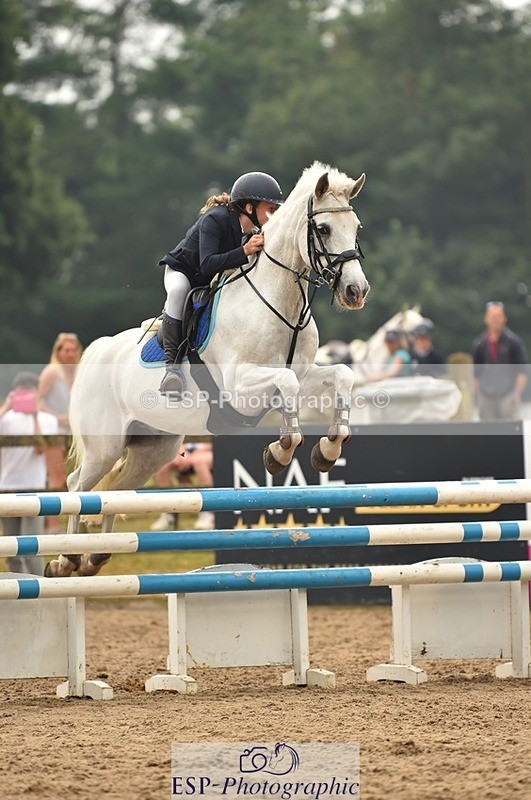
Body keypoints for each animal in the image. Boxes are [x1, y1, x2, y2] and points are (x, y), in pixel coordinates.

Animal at [45, 161, 369, 578]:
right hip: (105, 445)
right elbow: (286, 386)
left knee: (114, 490)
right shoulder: (240, 386)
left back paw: (95, 557)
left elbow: (341, 374)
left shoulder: (305, 371)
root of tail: (98, 348)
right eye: (325, 229)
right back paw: (66, 558)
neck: (280, 300)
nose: (356, 292)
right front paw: (280, 453)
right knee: (77, 487)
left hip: (154, 449)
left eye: (356, 227)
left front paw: (327, 450)